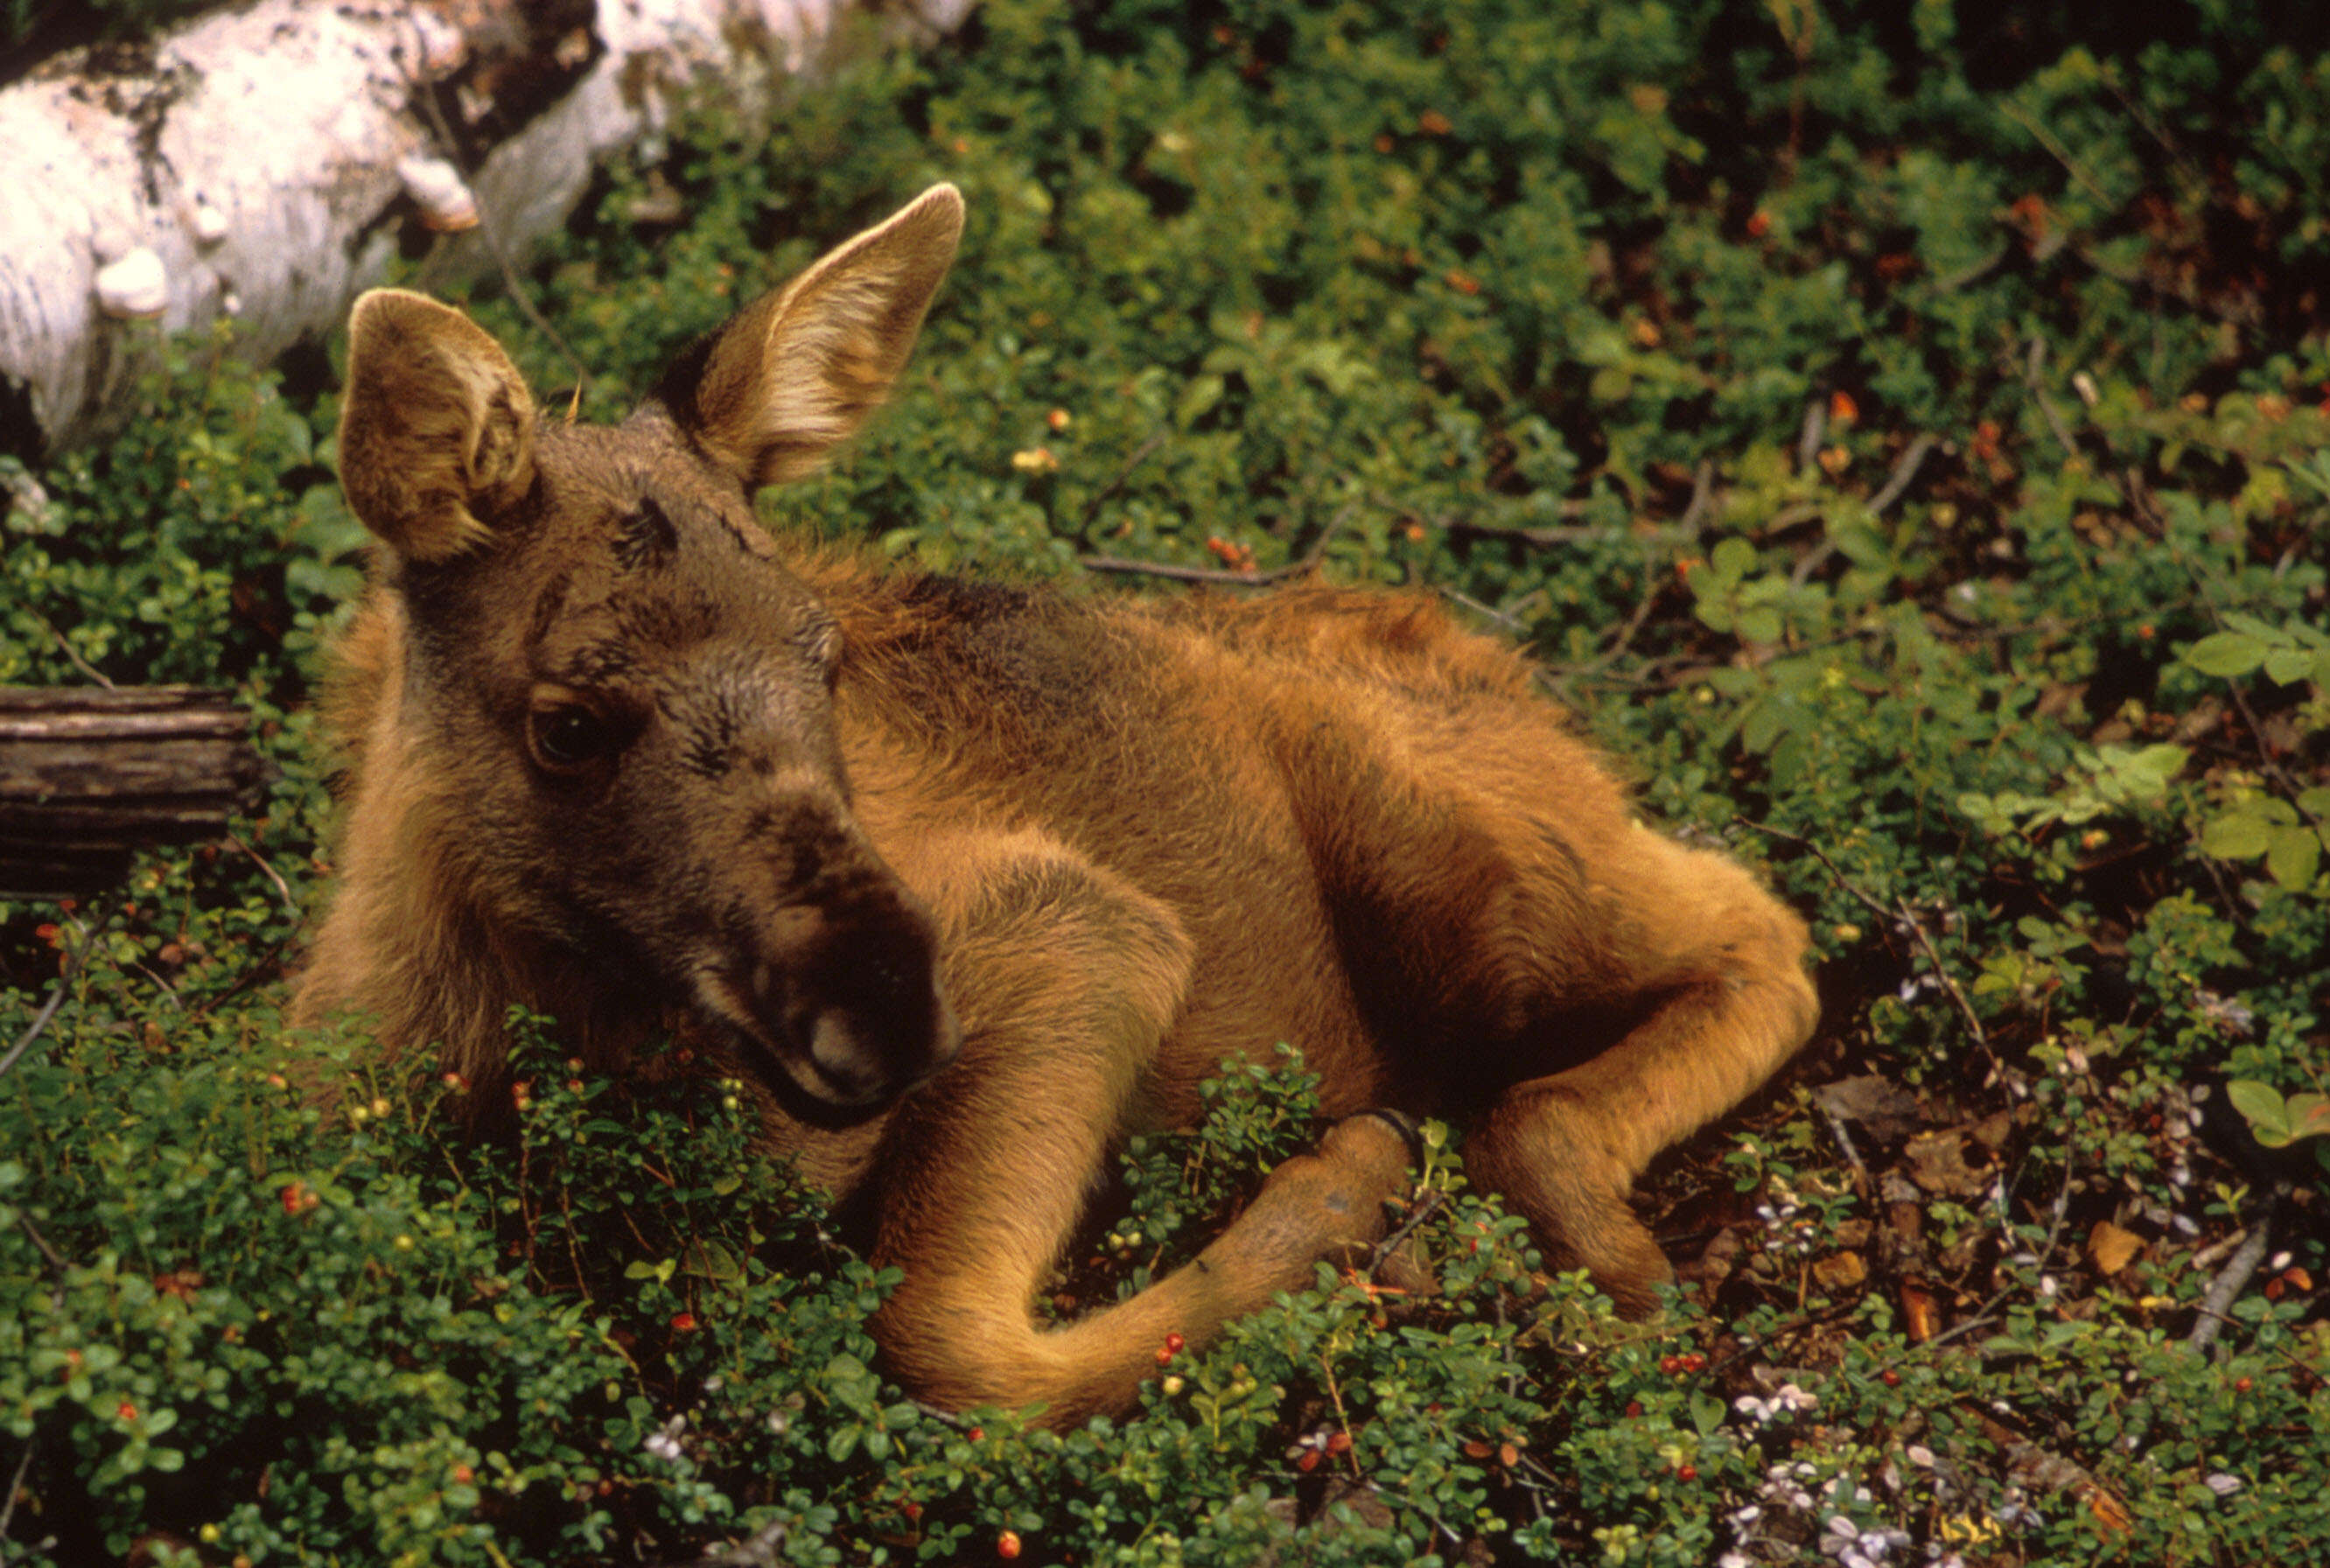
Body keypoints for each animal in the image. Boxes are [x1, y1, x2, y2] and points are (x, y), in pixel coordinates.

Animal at [296, 180, 1817, 1416]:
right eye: (564, 722)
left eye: (823, 657)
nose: (885, 1010)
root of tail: (1504, 672)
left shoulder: (1076, 927)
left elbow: (946, 1339)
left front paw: (1343, 1189)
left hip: (1479, 892)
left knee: (1743, 940)